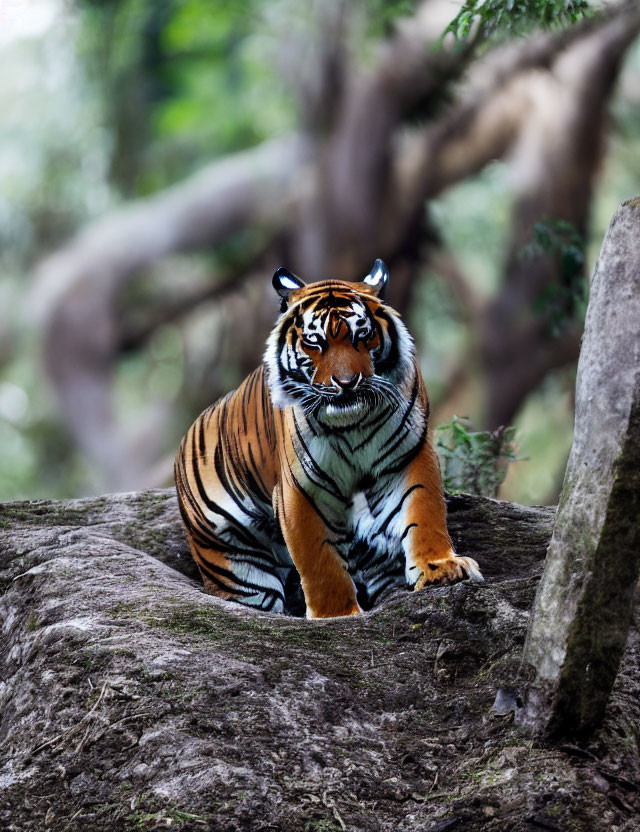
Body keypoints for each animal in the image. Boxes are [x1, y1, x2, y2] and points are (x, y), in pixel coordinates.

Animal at [172, 260, 482, 616]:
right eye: (315, 342)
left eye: (363, 335)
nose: (347, 383)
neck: (352, 423)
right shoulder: (303, 489)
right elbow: (319, 559)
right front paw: (336, 614)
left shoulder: (407, 457)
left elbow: (423, 509)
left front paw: (441, 569)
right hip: (237, 566)